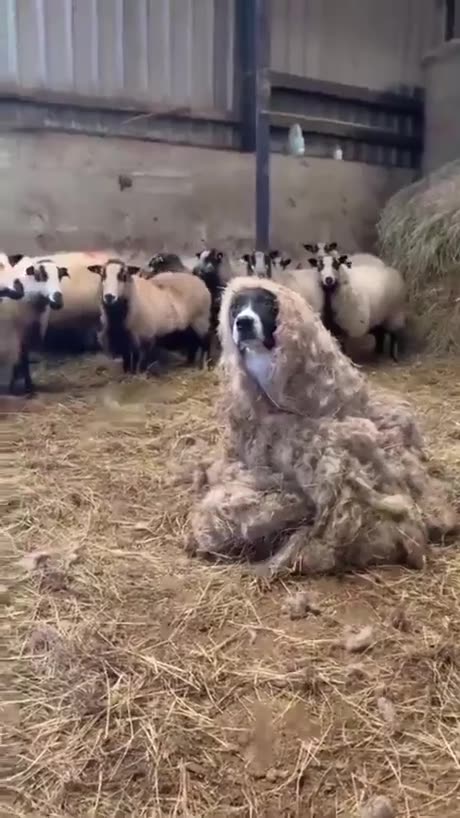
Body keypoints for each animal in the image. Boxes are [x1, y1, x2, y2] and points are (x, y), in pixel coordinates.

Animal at [0, 257, 68, 395]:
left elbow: (24, 359)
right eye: (40, 275)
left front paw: (28, 386)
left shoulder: (27, 333)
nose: (57, 302)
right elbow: (20, 360)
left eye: (60, 276)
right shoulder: (16, 334)